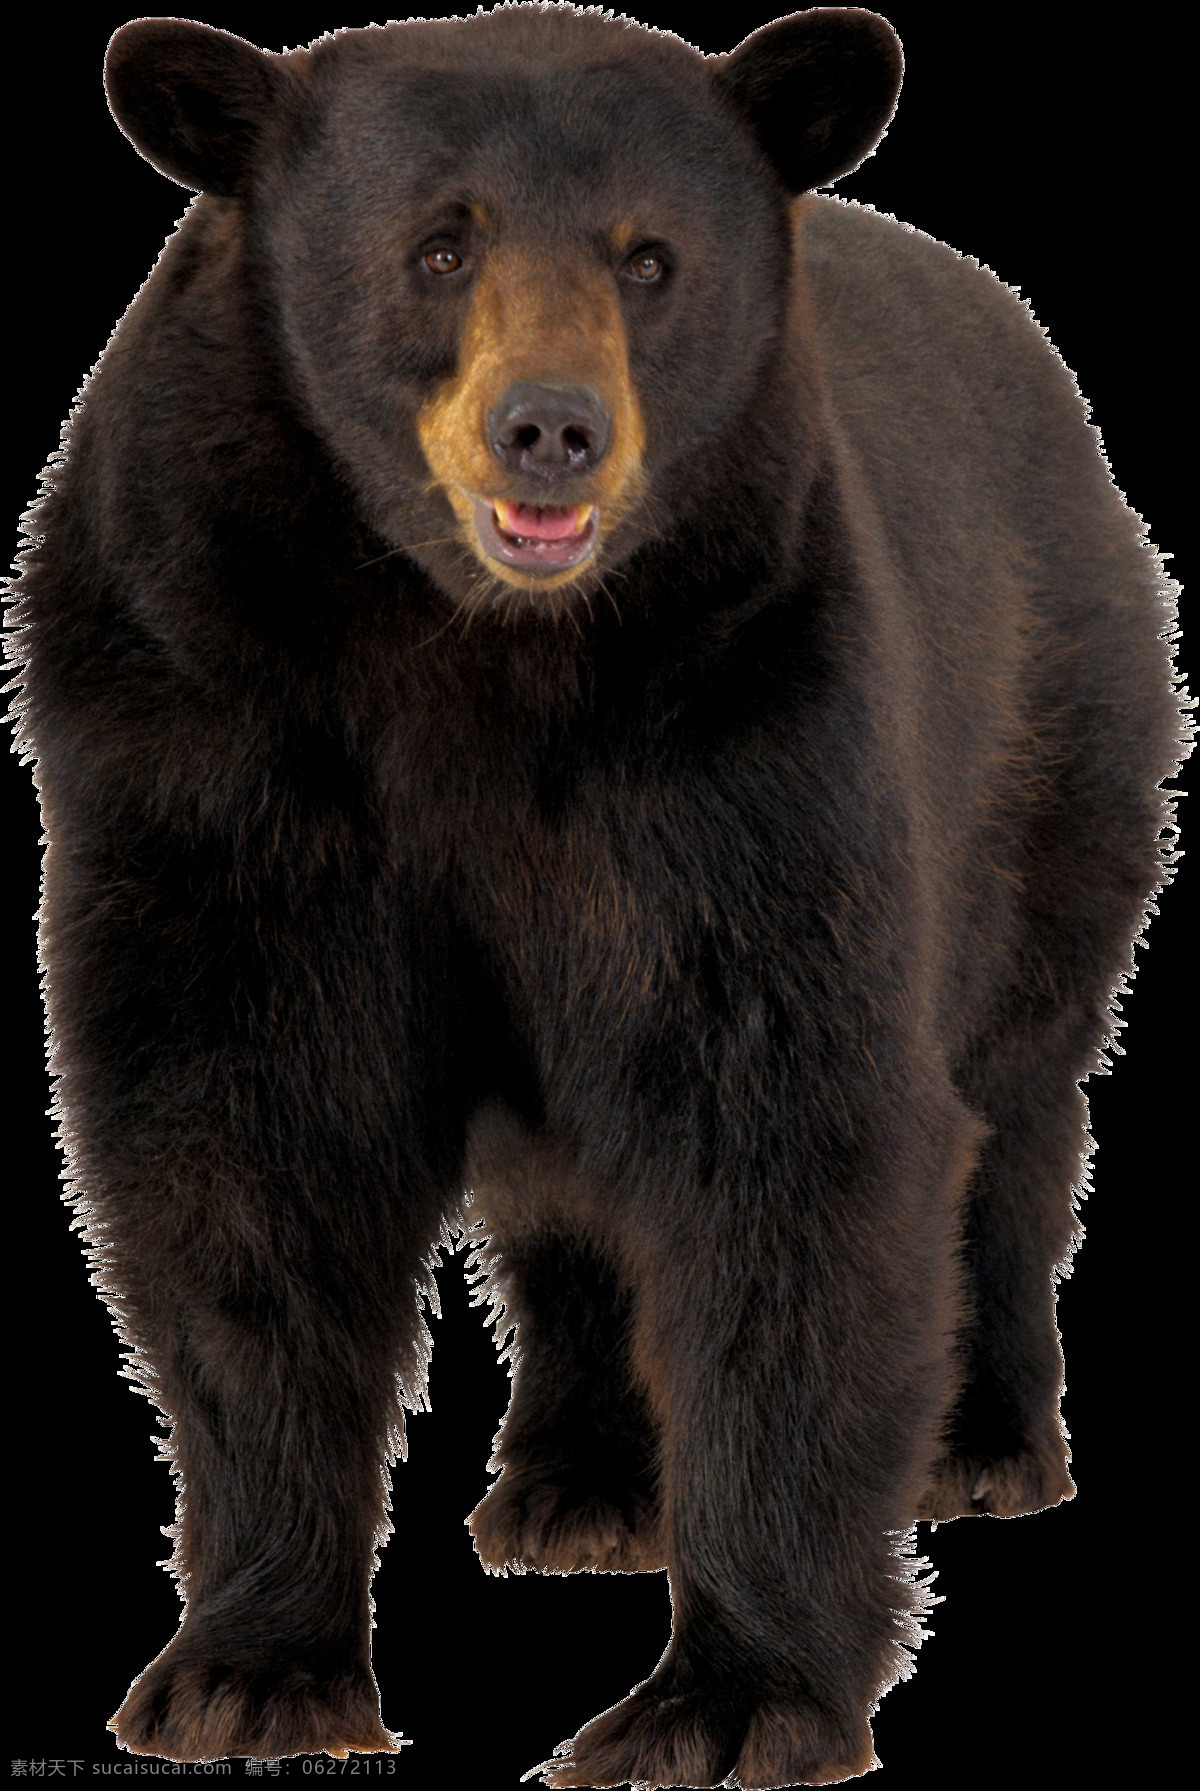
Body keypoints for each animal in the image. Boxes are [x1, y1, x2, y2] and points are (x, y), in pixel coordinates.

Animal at [6, 2, 1186, 1785]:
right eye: (437, 245)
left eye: (651, 259)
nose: (550, 426)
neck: (469, 648)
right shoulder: (198, 721)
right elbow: (246, 1146)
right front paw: (246, 1669)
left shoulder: (749, 718)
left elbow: (791, 1121)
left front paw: (728, 1694)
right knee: (567, 1184)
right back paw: (580, 1483)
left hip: (1054, 741)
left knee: (1017, 1083)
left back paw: (982, 1436)